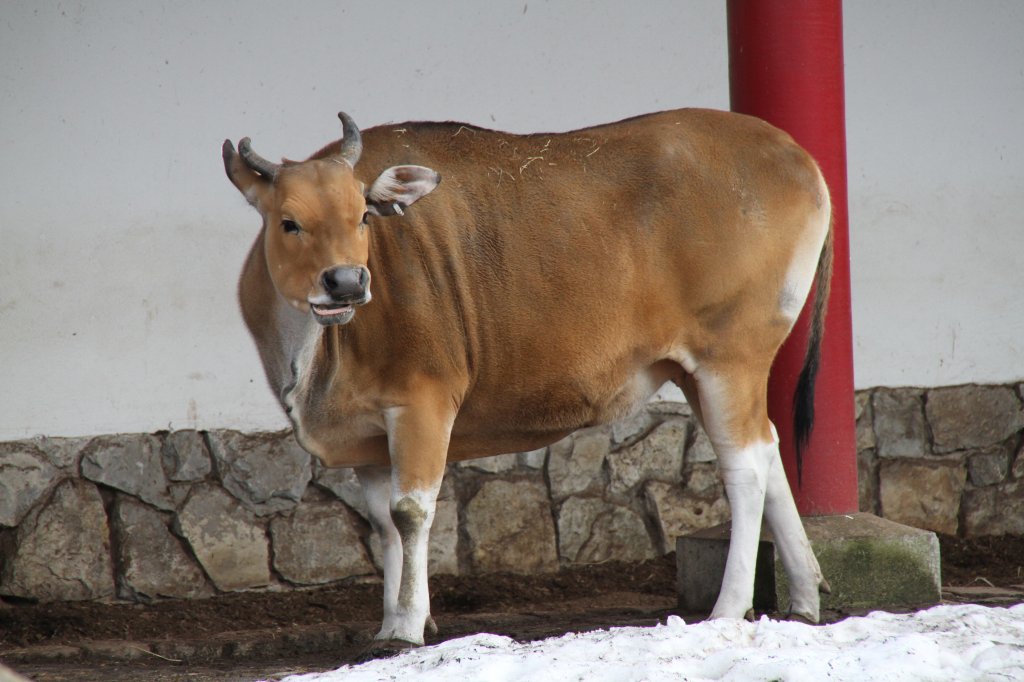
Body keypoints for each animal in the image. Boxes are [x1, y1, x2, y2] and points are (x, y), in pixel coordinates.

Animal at [222, 109, 831, 651]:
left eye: (363, 218)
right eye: (289, 222)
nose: (347, 281)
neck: (316, 349)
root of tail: (795, 155)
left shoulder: (423, 403)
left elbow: (411, 512)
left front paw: (406, 626)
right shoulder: (368, 435)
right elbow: (383, 526)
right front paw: (396, 615)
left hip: (731, 357)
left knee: (744, 466)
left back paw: (730, 607)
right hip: (693, 371)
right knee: (768, 449)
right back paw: (804, 595)